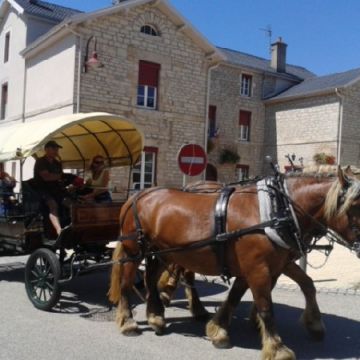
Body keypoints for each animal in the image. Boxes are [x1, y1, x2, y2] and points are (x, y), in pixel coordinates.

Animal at [109, 169, 360, 360]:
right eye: (354, 207)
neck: (275, 210)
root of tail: (138, 195)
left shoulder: (272, 265)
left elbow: (301, 285)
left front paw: (219, 328)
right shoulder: (257, 268)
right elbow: (266, 306)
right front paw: (276, 347)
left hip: (165, 252)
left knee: (151, 277)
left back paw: (156, 315)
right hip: (134, 251)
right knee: (126, 282)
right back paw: (129, 322)